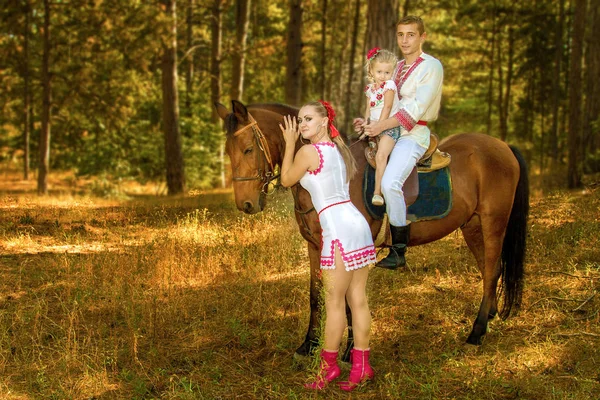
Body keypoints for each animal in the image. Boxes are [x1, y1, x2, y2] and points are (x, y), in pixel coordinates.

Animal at [213, 99, 528, 360]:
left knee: (491, 270)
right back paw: (488, 318)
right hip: (472, 226)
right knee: (491, 270)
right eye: (228, 151)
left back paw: (476, 332)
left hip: (493, 222)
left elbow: (349, 300)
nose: (246, 204)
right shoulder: (315, 246)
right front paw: (309, 345)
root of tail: (503, 146)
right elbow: (316, 294)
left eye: (248, 149)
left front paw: (350, 351)